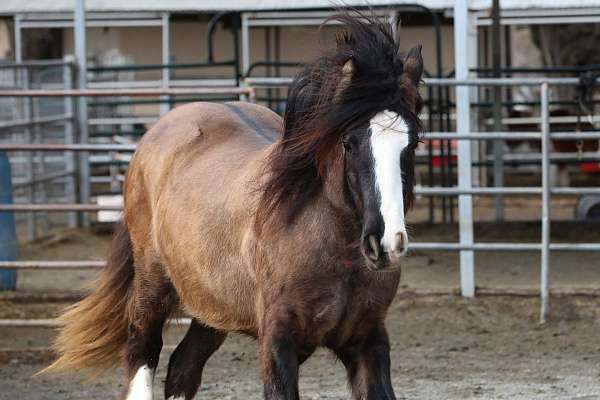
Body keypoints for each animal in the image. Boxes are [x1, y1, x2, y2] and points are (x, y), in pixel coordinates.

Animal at [44, 13, 424, 400]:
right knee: (142, 351)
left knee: (183, 367)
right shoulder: (278, 343)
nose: (384, 243)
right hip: (152, 281)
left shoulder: (368, 341)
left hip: (211, 304)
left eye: (413, 143)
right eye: (349, 142)